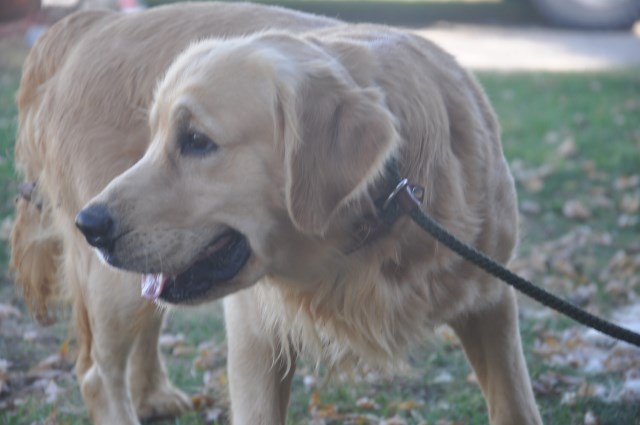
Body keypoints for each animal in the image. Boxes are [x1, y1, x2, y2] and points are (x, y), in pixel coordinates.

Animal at [11, 3, 540, 424]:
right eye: (155, 139)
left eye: (197, 141)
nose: (89, 225)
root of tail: (94, 22)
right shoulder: (255, 331)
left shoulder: (492, 298)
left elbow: (515, 405)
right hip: (112, 288)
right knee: (97, 374)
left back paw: (154, 394)